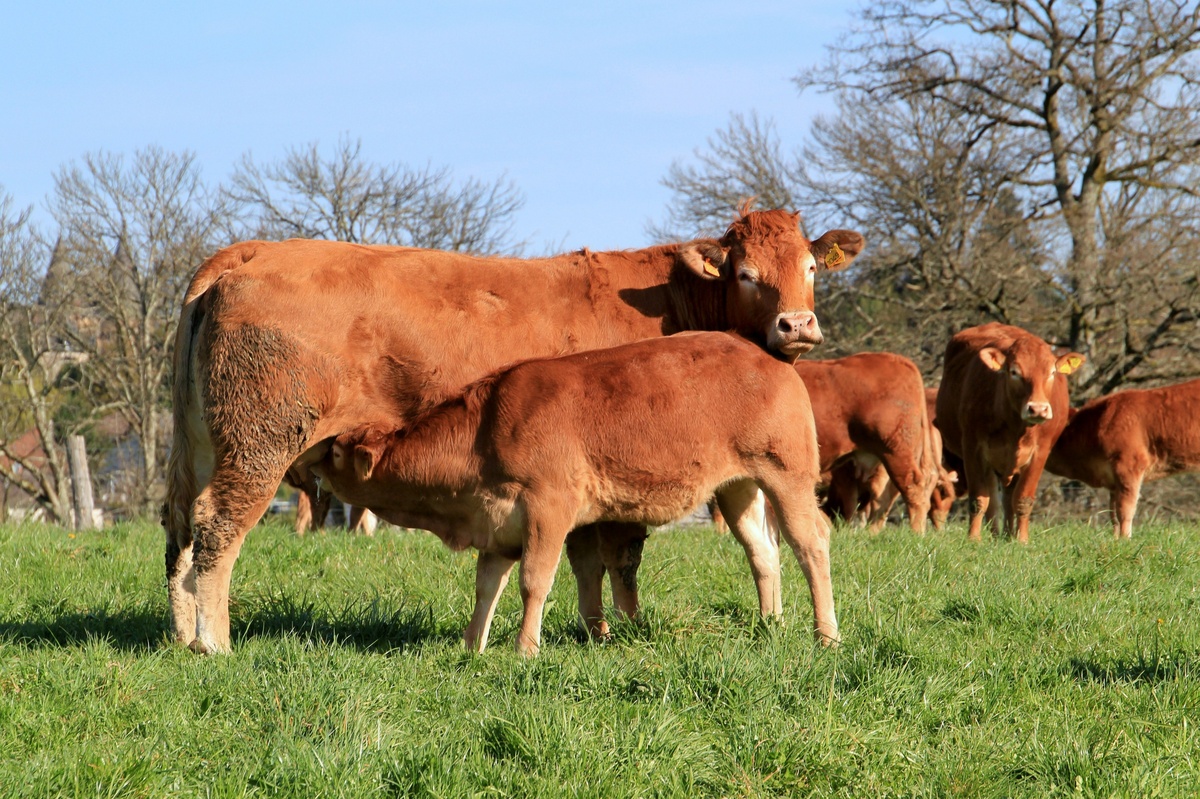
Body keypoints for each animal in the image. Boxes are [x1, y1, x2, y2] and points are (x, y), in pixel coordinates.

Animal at [309, 332, 837, 656]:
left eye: (333, 451)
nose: (306, 462)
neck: (485, 429)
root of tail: (766, 356)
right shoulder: (498, 525)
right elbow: (487, 586)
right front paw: (472, 646)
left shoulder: (548, 508)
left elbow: (534, 581)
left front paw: (525, 649)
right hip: (738, 487)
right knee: (763, 552)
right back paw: (770, 624)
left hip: (787, 475)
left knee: (810, 544)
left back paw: (825, 635)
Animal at [935, 323, 1084, 542]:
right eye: (1014, 372)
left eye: (1051, 372)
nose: (1038, 409)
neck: (1016, 428)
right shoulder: (973, 449)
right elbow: (979, 499)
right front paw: (973, 538)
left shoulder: (1039, 453)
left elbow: (1023, 499)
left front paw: (1022, 540)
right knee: (994, 500)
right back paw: (996, 533)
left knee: (1008, 499)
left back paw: (1007, 534)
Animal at [1045, 378, 1200, 539]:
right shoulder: (1113, 482)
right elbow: (1113, 514)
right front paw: (1115, 539)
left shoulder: (1129, 465)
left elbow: (1125, 511)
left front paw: (1126, 539)